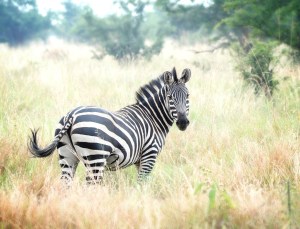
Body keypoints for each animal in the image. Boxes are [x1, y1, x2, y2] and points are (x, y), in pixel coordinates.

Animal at [28, 67, 192, 185]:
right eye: (170, 97)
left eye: (188, 96)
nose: (183, 122)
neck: (152, 117)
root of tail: (72, 115)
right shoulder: (149, 155)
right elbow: (141, 184)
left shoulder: (139, 160)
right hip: (95, 157)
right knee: (91, 185)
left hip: (66, 156)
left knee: (65, 183)